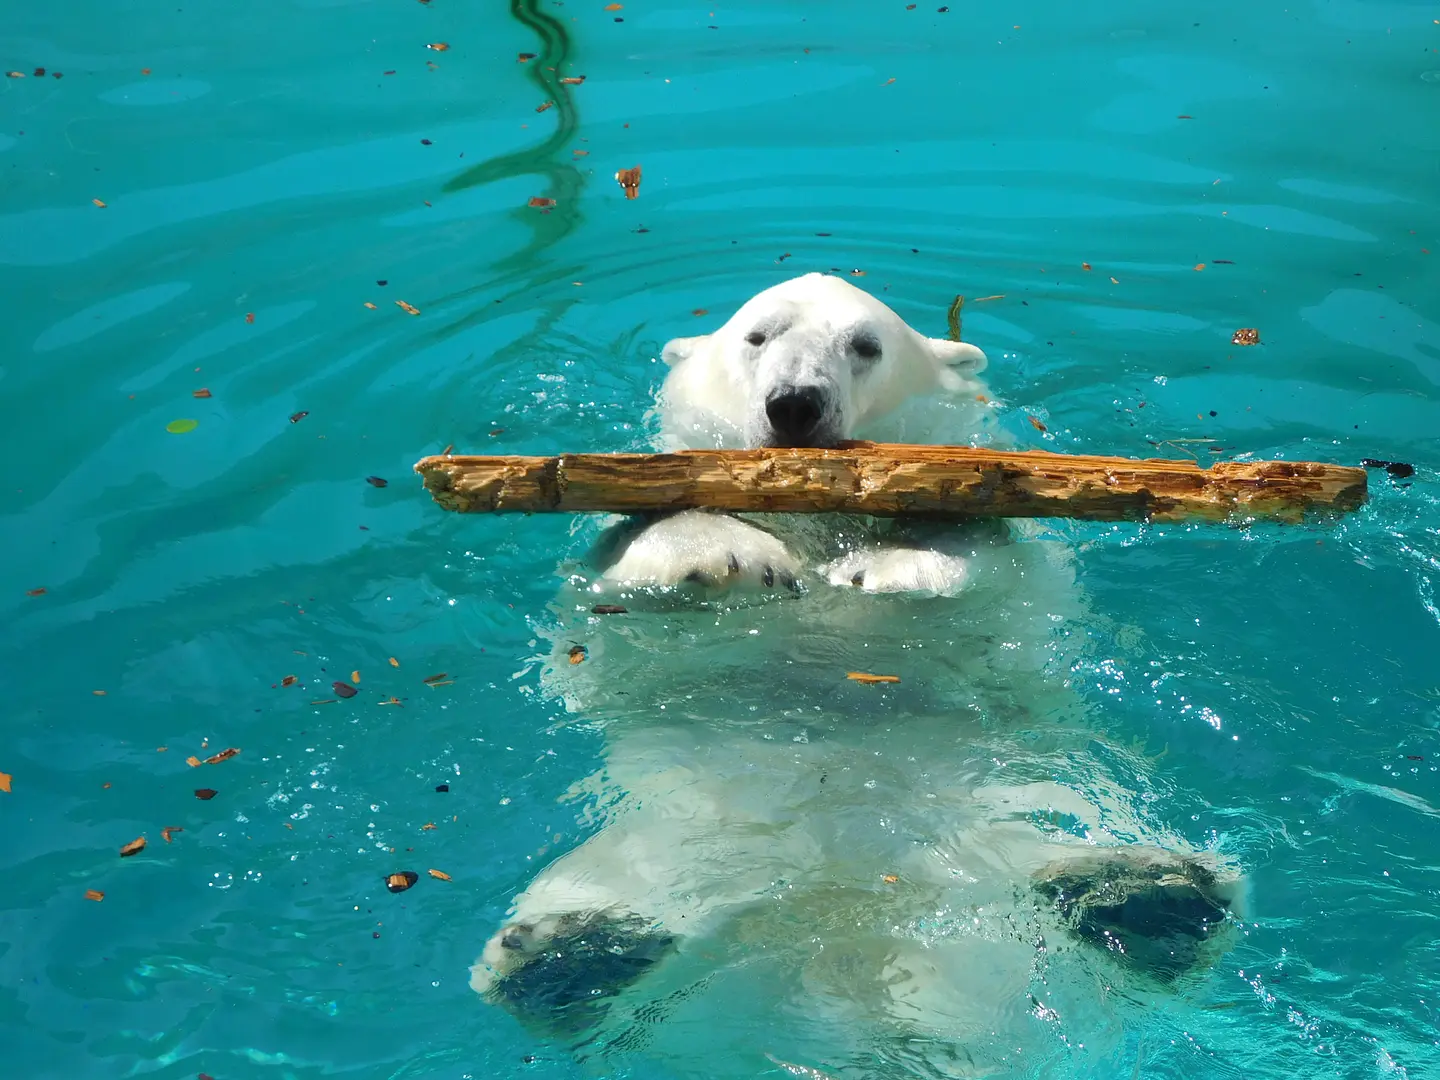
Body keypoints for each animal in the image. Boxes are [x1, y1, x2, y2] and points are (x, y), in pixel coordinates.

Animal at [472, 275, 1249, 1077]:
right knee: (614, 891)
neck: (818, 520)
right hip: (668, 826)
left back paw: (1144, 898)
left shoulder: (1022, 580)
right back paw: (574, 956)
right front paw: (731, 559)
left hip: (1034, 793)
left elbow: (985, 555)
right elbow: (631, 581)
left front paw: (889, 567)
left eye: (866, 345)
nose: (795, 404)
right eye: (756, 336)